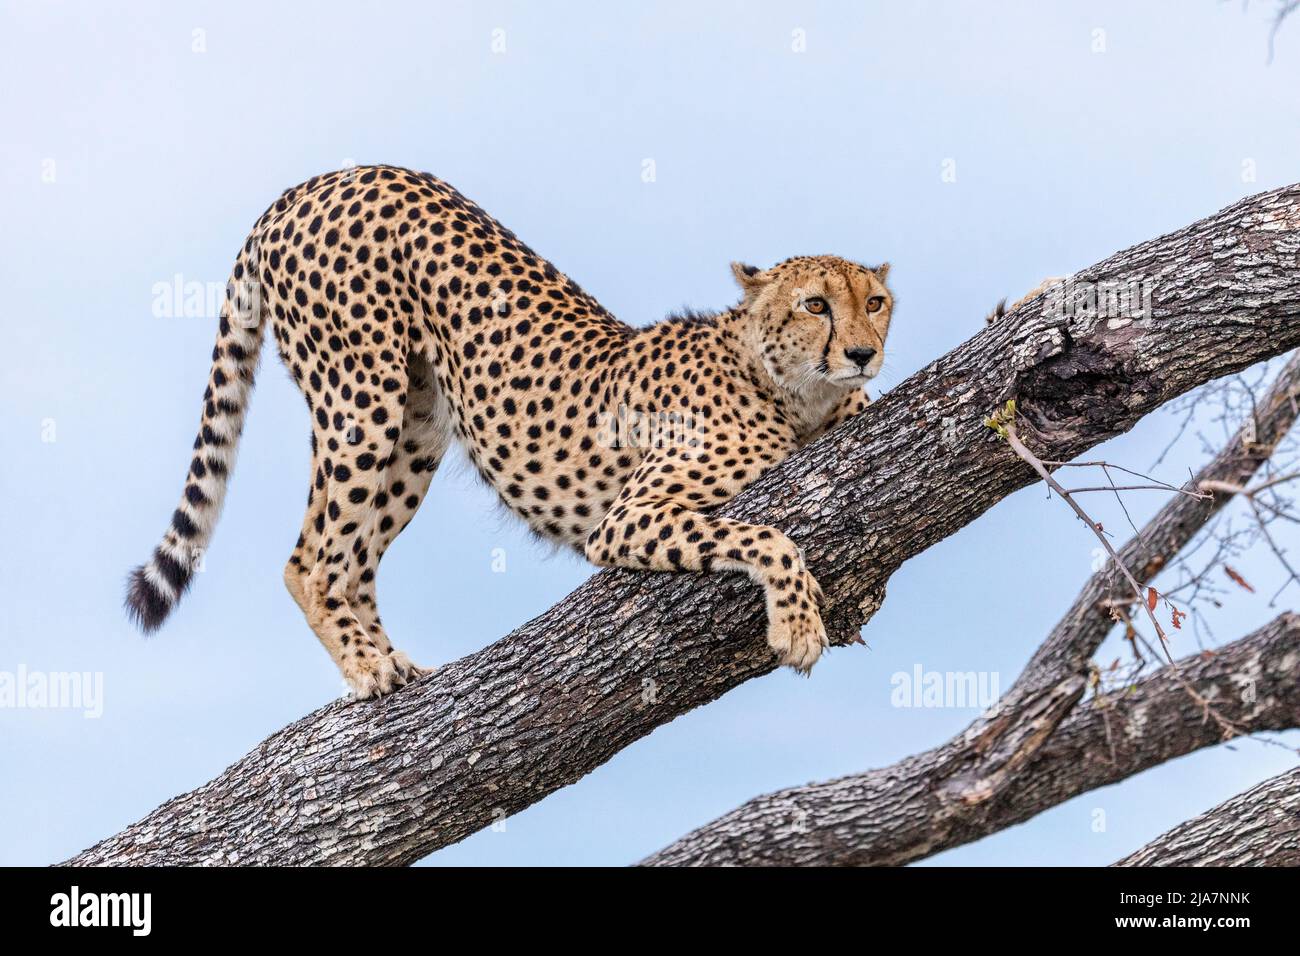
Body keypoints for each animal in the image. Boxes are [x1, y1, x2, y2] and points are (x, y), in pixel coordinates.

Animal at [124, 167, 894, 697]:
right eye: (816, 305)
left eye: (877, 301)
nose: (863, 353)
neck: (791, 393)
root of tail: (313, 182)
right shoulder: (624, 518)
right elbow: (767, 536)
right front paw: (797, 627)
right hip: (361, 398)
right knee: (311, 560)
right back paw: (368, 667)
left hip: (417, 430)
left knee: (357, 562)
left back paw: (393, 661)